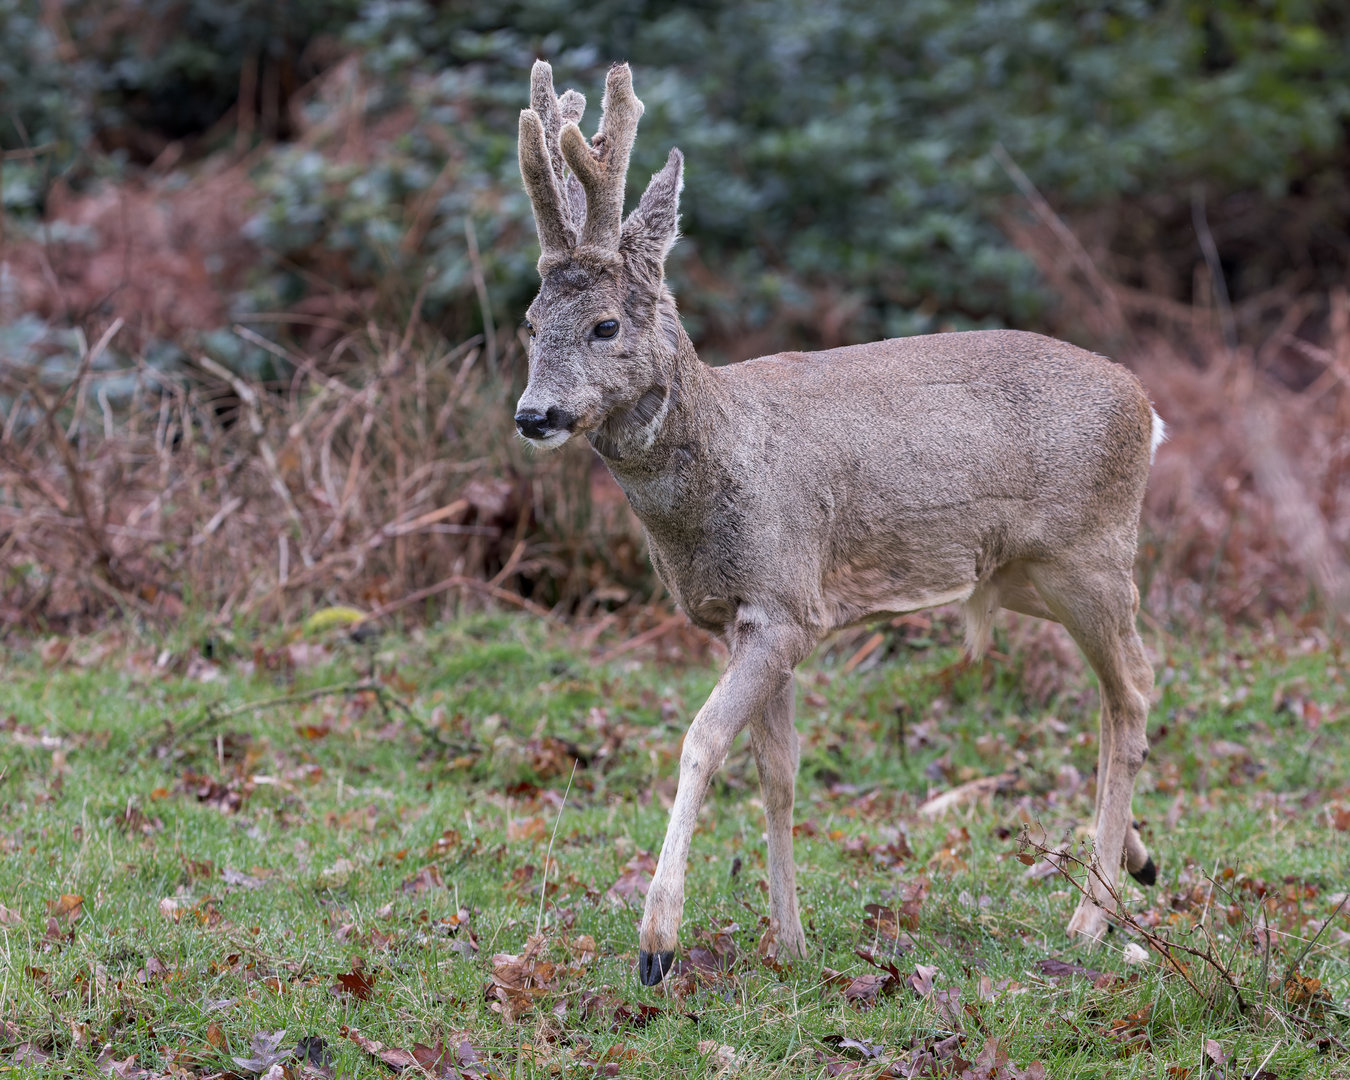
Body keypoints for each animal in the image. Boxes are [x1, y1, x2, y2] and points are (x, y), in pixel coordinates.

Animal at [513, 60, 1166, 986]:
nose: (535, 413)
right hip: (1025, 573)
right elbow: (777, 770)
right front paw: (787, 942)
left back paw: (1090, 919)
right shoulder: (742, 618)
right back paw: (1139, 864)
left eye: (605, 324)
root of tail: (1146, 408)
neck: (727, 455)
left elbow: (702, 741)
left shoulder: (786, 604)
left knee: (1133, 693)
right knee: (1121, 696)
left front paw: (658, 942)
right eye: (531, 322)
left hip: (1094, 554)